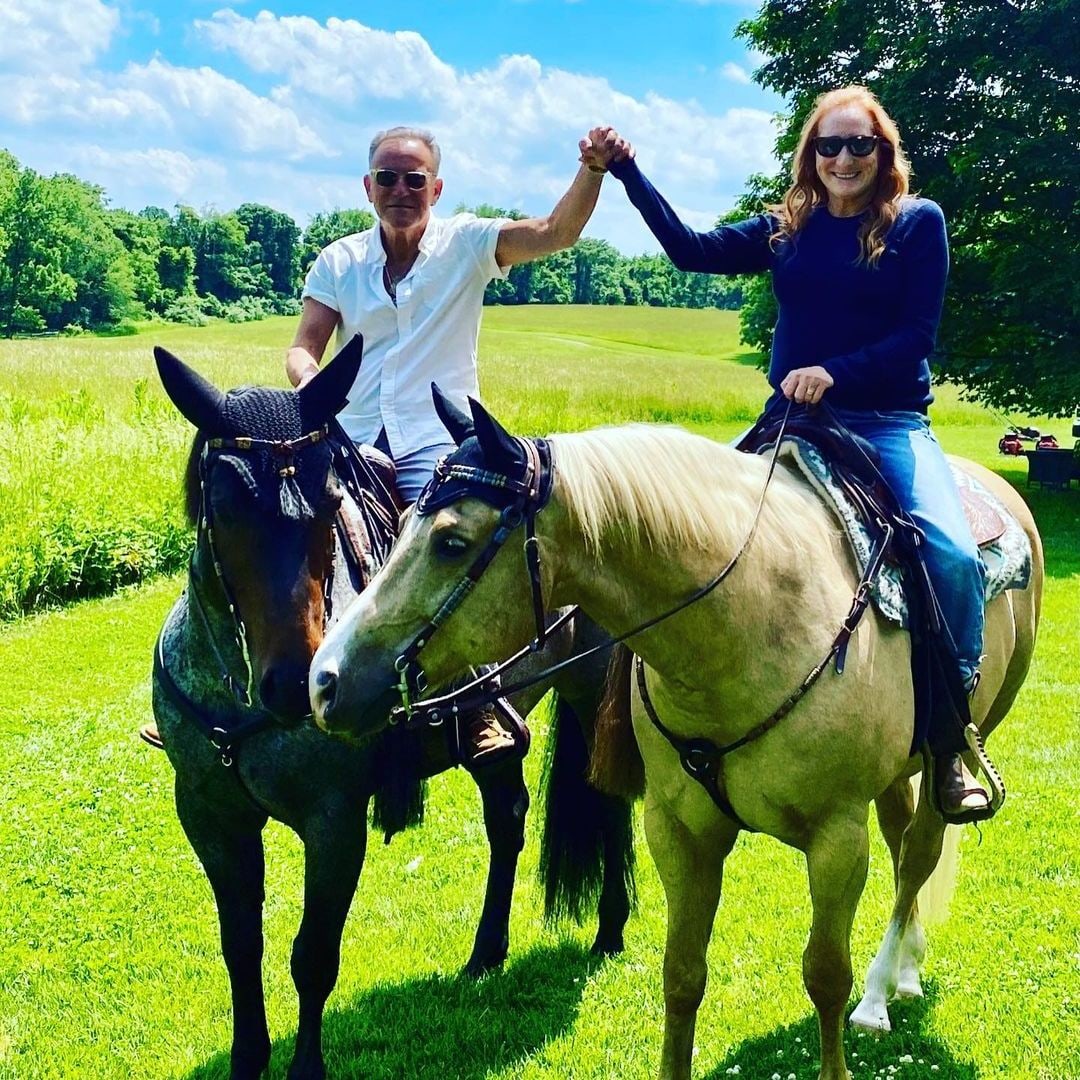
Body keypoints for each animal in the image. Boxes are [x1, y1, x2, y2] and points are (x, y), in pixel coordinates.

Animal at [147, 341, 630, 1080]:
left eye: (328, 500)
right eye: (222, 504)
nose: (298, 685)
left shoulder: (334, 823)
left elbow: (313, 957)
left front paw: (305, 1067)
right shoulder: (209, 815)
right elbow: (241, 947)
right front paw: (248, 1057)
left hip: (592, 689)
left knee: (608, 805)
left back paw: (609, 927)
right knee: (507, 820)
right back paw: (486, 952)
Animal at [308, 397, 1041, 1080]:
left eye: (453, 543)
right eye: (404, 520)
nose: (324, 681)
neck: (750, 622)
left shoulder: (836, 837)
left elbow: (825, 976)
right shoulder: (680, 831)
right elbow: (683, 974)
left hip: (954, 748)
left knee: (917, 852)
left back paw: (881, 994)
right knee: (901, 837)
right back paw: (903, 972)